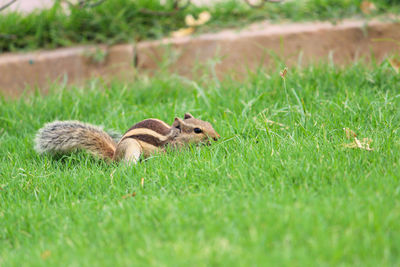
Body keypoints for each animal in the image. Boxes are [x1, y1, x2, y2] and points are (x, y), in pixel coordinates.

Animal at [34, 112, 220, 164]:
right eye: (197, 130)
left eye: (207, 123)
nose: (217, 138)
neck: (173, 137)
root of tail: (114, 155)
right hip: (131, 148)